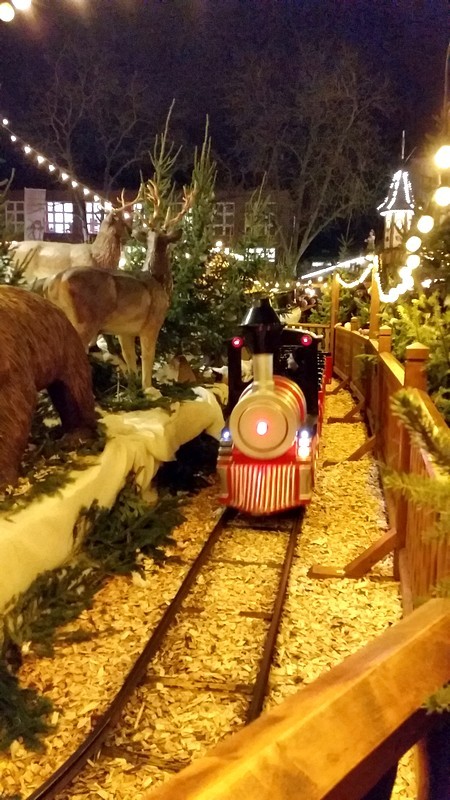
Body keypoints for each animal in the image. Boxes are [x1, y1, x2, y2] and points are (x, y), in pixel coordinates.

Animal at [41, 184, 195, 390]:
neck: (158, 281)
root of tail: (53, 284)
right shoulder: (152, 323)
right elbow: (147, 357)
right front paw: (150, 388)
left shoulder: (124, 331)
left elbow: (130, 359)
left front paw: (134, 388)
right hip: (82, 322)